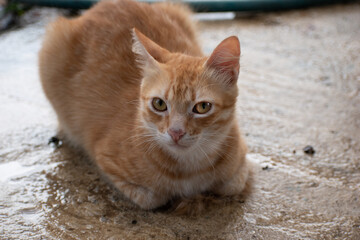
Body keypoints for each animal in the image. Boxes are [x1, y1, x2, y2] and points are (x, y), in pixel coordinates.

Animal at [38, 0, 249, 214]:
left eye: (202, 107)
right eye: (159, 104)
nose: (176, 132)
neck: (190, 168)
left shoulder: (240, 163)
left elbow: (231, 186)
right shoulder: (104, 159)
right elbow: (152, 198)